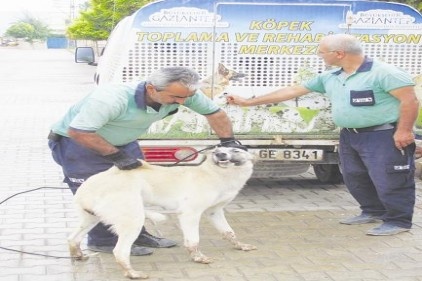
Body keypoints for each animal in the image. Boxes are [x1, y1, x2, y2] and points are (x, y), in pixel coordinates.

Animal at [68, 147, 258, 278]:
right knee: (120, 252)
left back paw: (78, 255)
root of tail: (87, 187)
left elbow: (229, 232)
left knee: (72, 239)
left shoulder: (215, 212)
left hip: (90, 220)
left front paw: (241, 246)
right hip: (133, 221)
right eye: (217, 150)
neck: (216, 173)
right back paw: (133, 274)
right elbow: (193, 241)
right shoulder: (190, 214)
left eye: (234, 149)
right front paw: (198, 258)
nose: (220, 154)